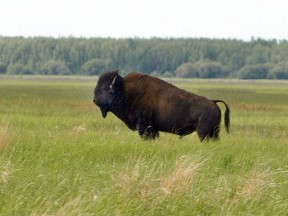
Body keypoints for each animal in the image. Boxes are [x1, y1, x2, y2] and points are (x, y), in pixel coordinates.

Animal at [93, 69, 231, 142]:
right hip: (214, 132)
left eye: (104, 89)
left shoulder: (145, 126)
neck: (124, 91)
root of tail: (213, 102)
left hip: (203, 132)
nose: (94, 100)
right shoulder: (153, 128)